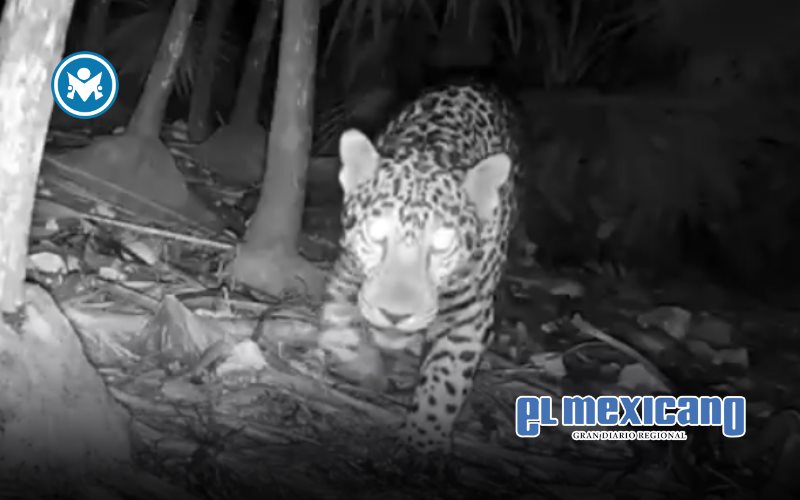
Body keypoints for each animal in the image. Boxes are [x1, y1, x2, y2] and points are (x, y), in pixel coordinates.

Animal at [317, 82, 521, 455]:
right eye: (376, 234)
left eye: (441, 244)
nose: (395, 315)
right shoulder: (348, 268)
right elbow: (341, 319)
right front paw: (356, 362)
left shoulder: (469, 317)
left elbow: (444, 386)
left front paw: (420, 447)